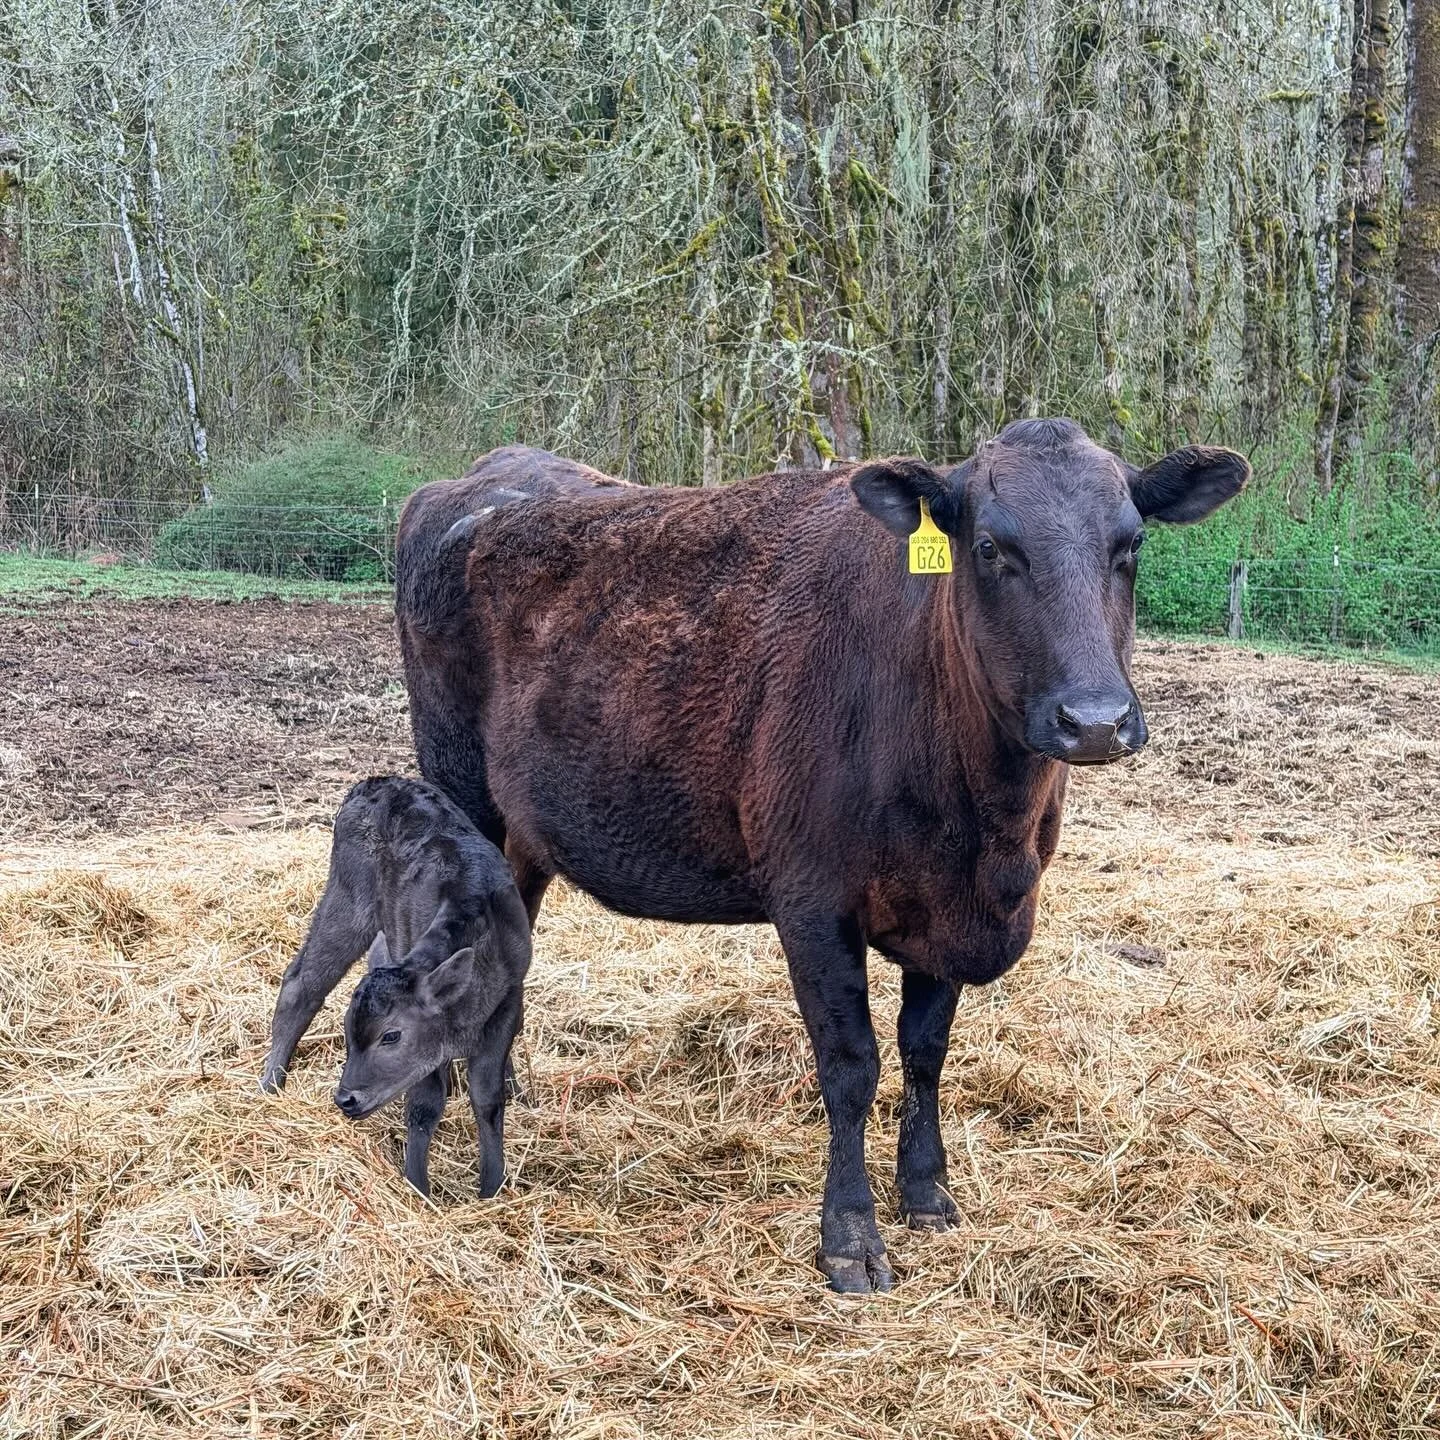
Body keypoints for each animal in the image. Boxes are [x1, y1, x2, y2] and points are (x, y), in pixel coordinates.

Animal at [262, 776, 531, 1199]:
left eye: (391, 1036)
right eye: (348, 1034)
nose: (346, 1099)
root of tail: (377, 782)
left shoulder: (508, 1003)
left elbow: (488, 1099)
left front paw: (491, 1187)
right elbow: (424, 1105)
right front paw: (418, 1188)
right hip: (350, 897)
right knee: (301, 984)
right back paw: (271, 1083)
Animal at [394, 421, 1248, 1290]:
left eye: (1131, 543)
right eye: (991, 548)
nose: (1096, 720)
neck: (985, 831)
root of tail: (487, 475)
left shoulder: (945, 912)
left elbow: (925, 1052)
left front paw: (927, 1194)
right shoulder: (812, 902)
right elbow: (850, 1066)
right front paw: (851, 1234)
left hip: (525, 834)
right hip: (459, 786)